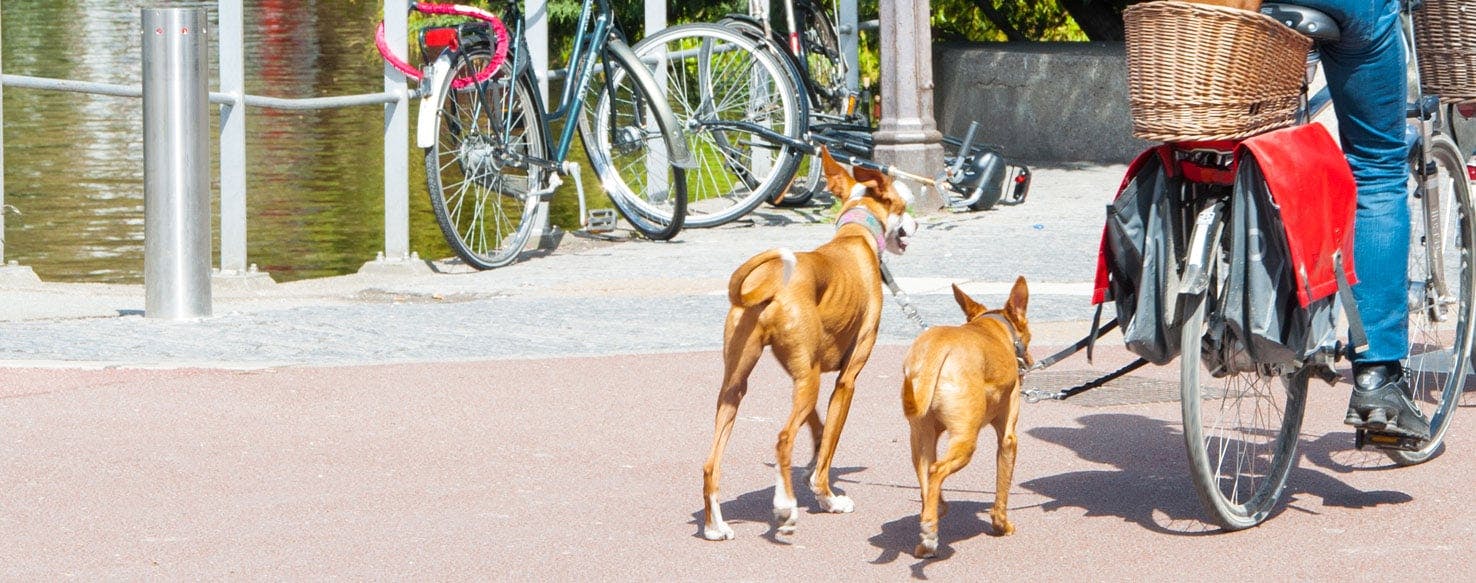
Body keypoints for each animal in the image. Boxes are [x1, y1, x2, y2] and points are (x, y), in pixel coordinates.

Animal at [699, 148, 915, 540]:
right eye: (905, 206)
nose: (915, 225)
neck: (855, 237)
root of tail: (770, 282)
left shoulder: (801, 374)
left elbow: (819, 428)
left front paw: (812, 468)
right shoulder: (846, 380)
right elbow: (830, 442)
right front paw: (826, 494)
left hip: (737, 387)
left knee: (711, 463)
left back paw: (714, 525)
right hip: (806, 382)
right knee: (784, 438)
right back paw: (786, 508)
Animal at [897, 278, 1027, 560]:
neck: (993, 328)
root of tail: (937, 346)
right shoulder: (1008, 439)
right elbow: (1002, 488)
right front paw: (1001, 524)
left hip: (920, 438)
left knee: (927, 478)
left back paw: (930, 524)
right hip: (965, 439)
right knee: (936, 471)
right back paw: (930, 532)